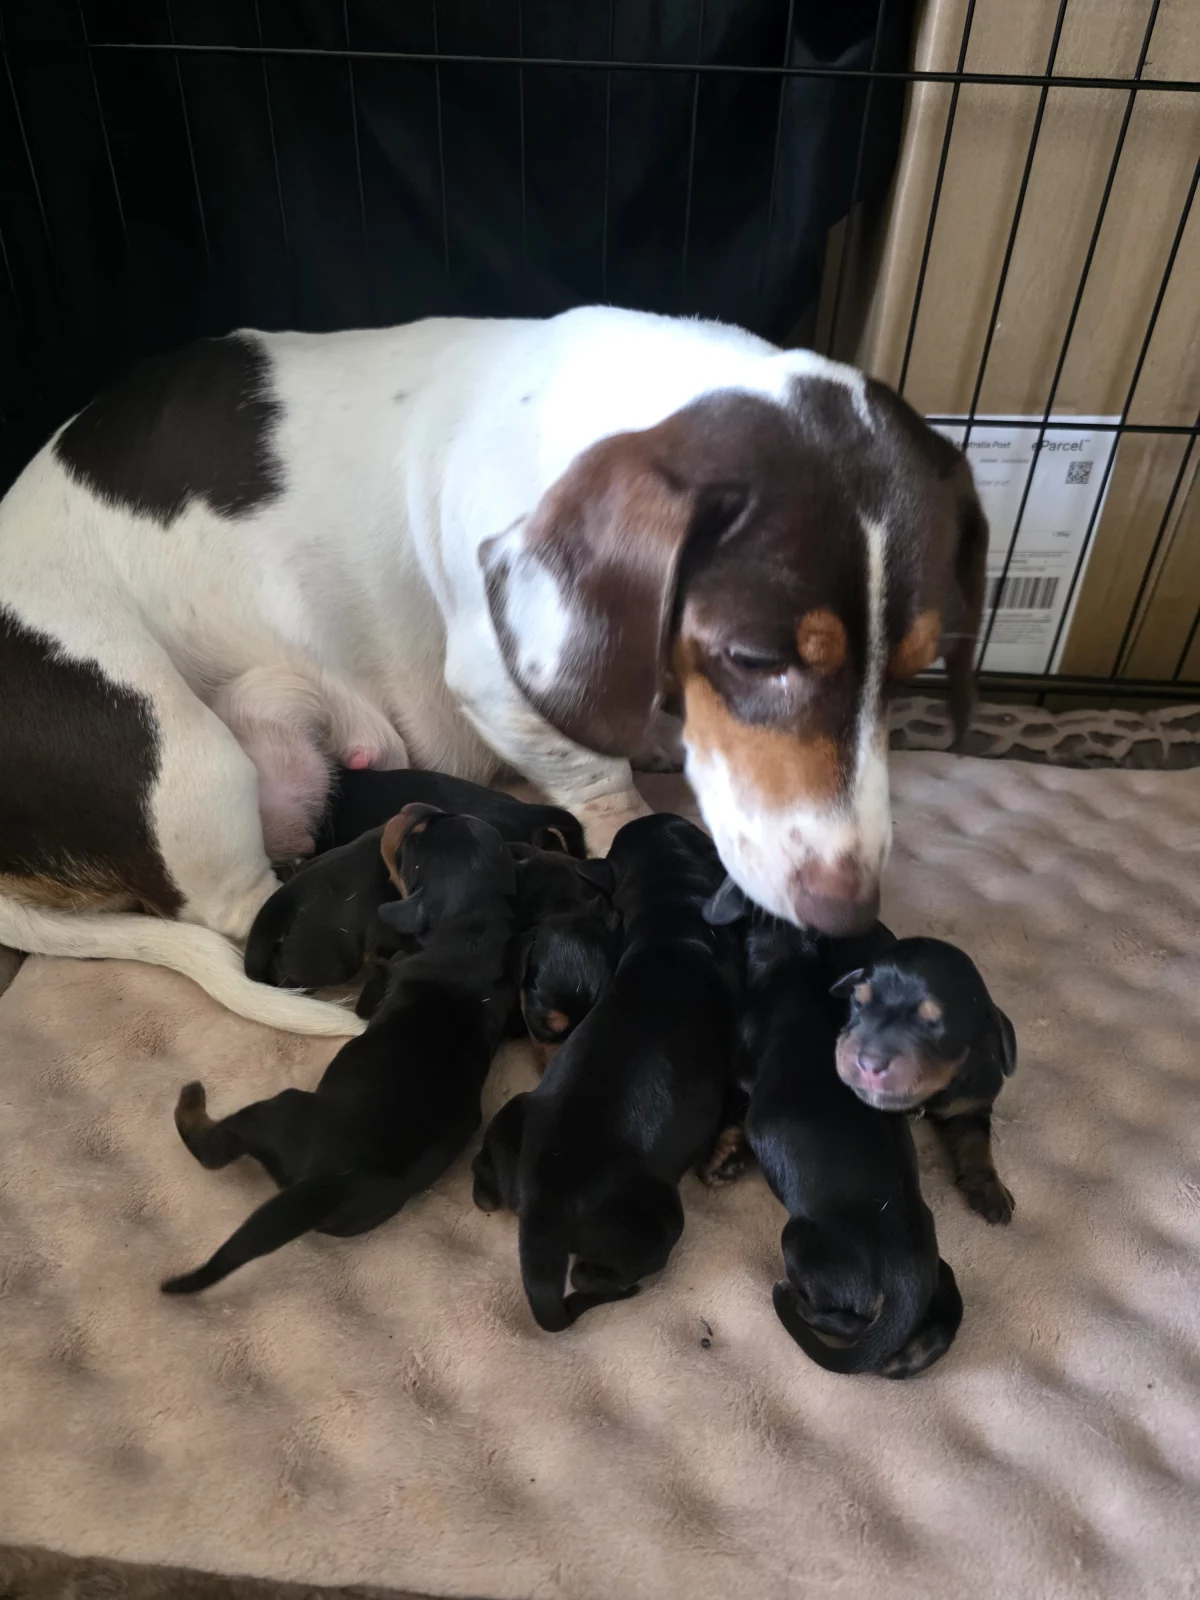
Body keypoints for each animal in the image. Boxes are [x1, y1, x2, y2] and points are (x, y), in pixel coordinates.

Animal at [0, 309, 987, 1034]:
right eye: (753, 660)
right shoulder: (501, 685)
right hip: (184, 760)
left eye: (912, 671)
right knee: (236, 906)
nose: (848, 916)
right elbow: (601, 786)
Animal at [161, 805, 516, 1294]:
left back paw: (191, 1103)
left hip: (282, 1108)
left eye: (412, 849)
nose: (416, 807)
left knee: (215, 1148)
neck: (471, 939)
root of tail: (330, 1183)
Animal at [472, 813, 739, 1331]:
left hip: (514, 1115)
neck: (670, 924)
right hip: (659, 1221)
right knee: (594, 1276)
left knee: (483, 1184)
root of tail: (542, 1211)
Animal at [831, 936, 1018, 1224]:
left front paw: (990, 1191)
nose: (869, 1063)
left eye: (934, 1023)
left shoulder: (970, 1104)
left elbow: (976, 1143)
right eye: (858, 1003)